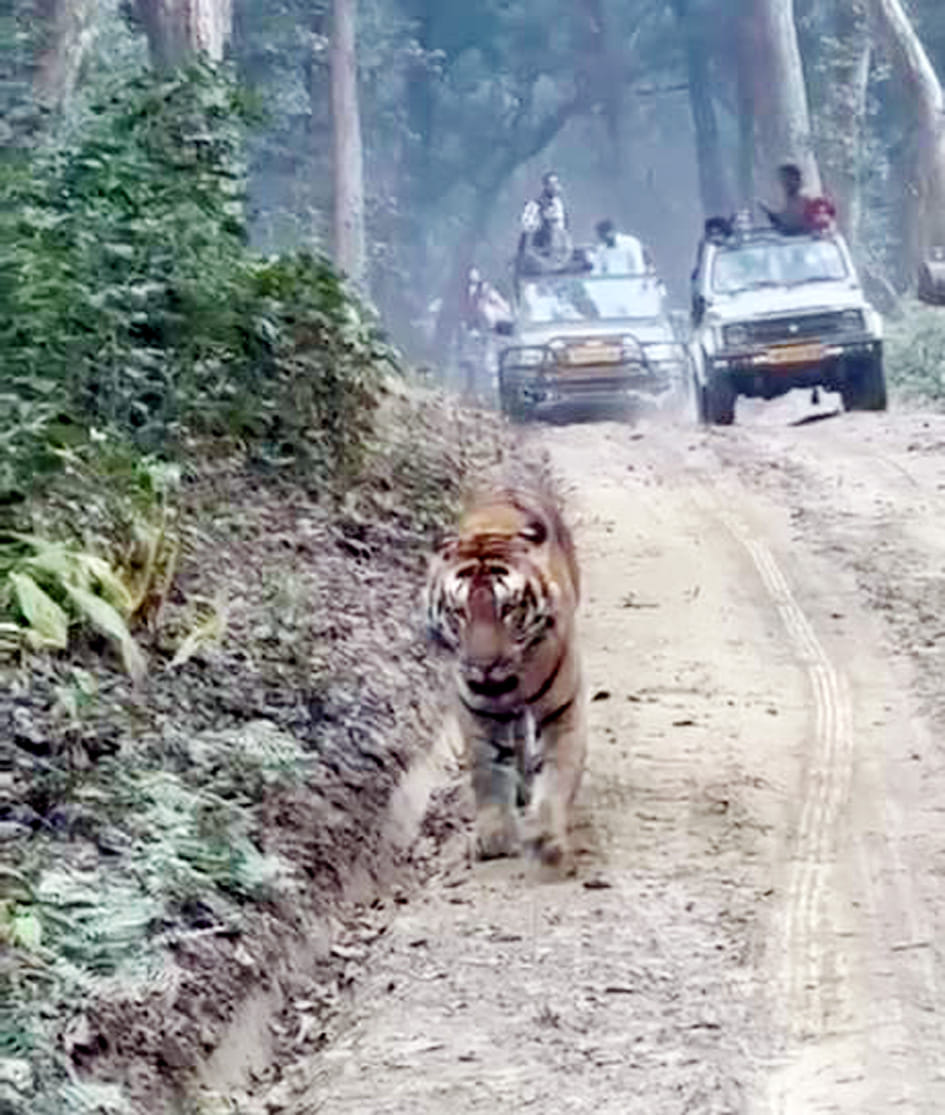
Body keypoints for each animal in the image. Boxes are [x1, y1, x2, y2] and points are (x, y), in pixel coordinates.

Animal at [425, 486, 586, 870]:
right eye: (459, 612)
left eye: (508, 609)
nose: (484, 664)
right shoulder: (477, 708)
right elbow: (488, 769)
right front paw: (495, 836)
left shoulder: (562, 708)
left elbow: (556, 770)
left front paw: (545, 834)